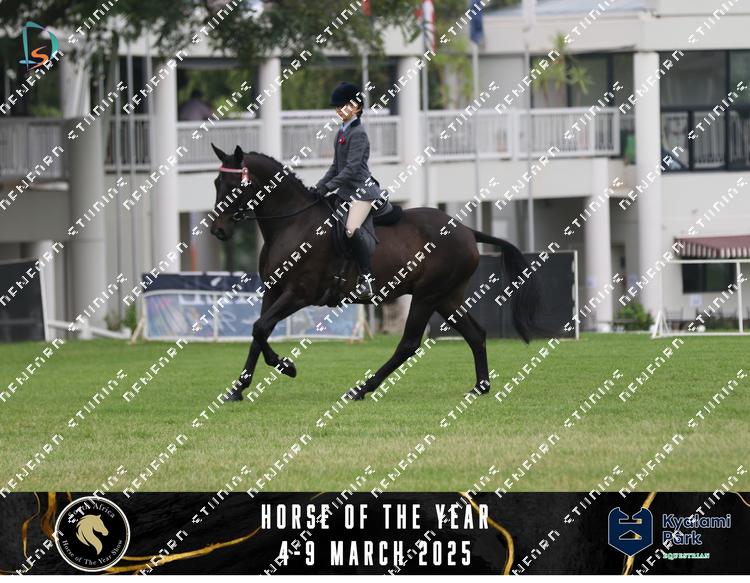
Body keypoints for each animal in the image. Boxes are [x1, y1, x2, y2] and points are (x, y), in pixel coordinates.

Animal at [209, 144, 541, 401]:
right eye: (215, 184)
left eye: (235, 186)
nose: (218, 230)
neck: (292, 223)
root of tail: (466, 230)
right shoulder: (273, 291)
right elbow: (258, 332)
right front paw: (238, 389)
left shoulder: (298, 294)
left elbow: (260, 328)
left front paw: (286, 366)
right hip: (447, 297)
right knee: (476, 335)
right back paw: (480, 387)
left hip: (427, 296)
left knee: (408, 344)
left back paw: (362, 389)